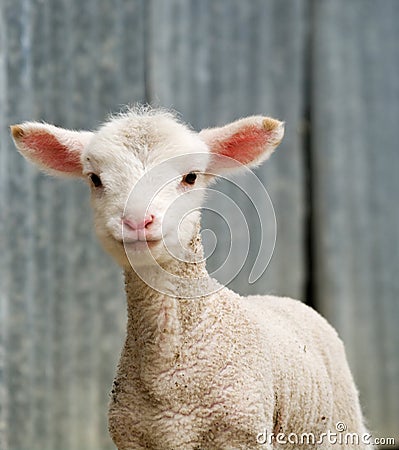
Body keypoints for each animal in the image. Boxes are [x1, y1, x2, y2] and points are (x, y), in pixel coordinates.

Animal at [12, 106, 376, 450]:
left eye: (190, 177)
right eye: (95, 179)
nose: (137, 221)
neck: (168, 375)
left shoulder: (242, 433)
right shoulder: (132, 437)